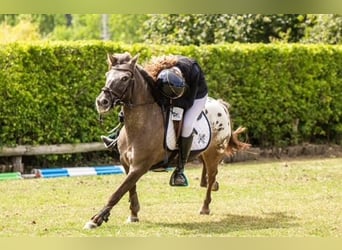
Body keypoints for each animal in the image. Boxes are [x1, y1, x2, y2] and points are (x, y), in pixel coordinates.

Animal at [84, 52, 250, 229]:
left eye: (124, 78)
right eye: (107, 75)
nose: (102, 102)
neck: (140, 124)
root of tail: (220, 104)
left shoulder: (140, 166)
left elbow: (118, 191)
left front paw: (96, 219)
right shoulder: (126, 164)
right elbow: (130, 189)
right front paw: (133, 214)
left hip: (214, 154)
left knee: (212, 176)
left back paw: (205, 206)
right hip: (202, 153)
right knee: (208, 176)